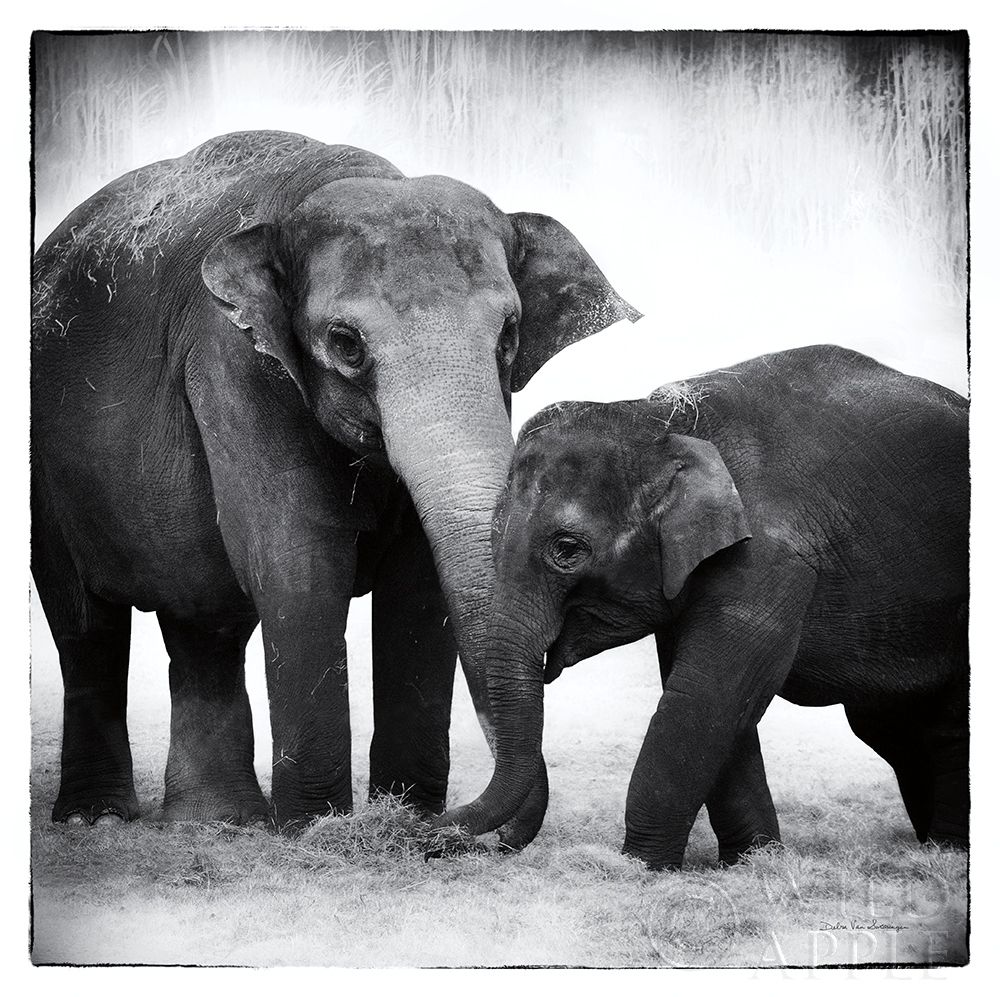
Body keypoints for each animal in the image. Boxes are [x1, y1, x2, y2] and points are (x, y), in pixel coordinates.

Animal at [31, 130, 639, 834]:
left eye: (508, 336)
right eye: (346, 343)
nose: (449, 824)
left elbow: (420, 580)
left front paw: (403, 819)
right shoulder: (233, 360)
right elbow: (300, 560)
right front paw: (316, 830)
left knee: (204, 625)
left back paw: (217, 823)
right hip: (46, 477)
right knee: (86, 626)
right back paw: (97, 819)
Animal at [437, 345, 969, 869]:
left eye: (567, 549)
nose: (437, 836)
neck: (664, 420)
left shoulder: (769, 559)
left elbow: (703, 695)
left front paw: (640, 867)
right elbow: (715, 703)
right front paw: (752, 863)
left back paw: (946, 851)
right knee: (894, 731)